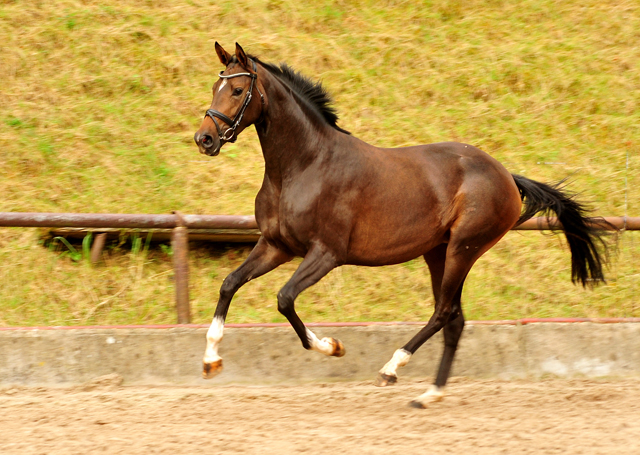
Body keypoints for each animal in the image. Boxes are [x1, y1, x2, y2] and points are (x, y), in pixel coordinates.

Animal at [192, 41, 608, 406]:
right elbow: (229, 284)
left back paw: (392, 369)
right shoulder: (276, 246)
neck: (304, 166)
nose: (204, 139)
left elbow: (284, 299)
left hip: (463, 249)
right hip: (438, 252)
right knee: (455, 319)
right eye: (214, 87)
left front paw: (334, 347)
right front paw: (211, 361)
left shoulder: (326, 254)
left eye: (238, 90)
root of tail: (506, 175)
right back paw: (429, 395)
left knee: (444, 313)